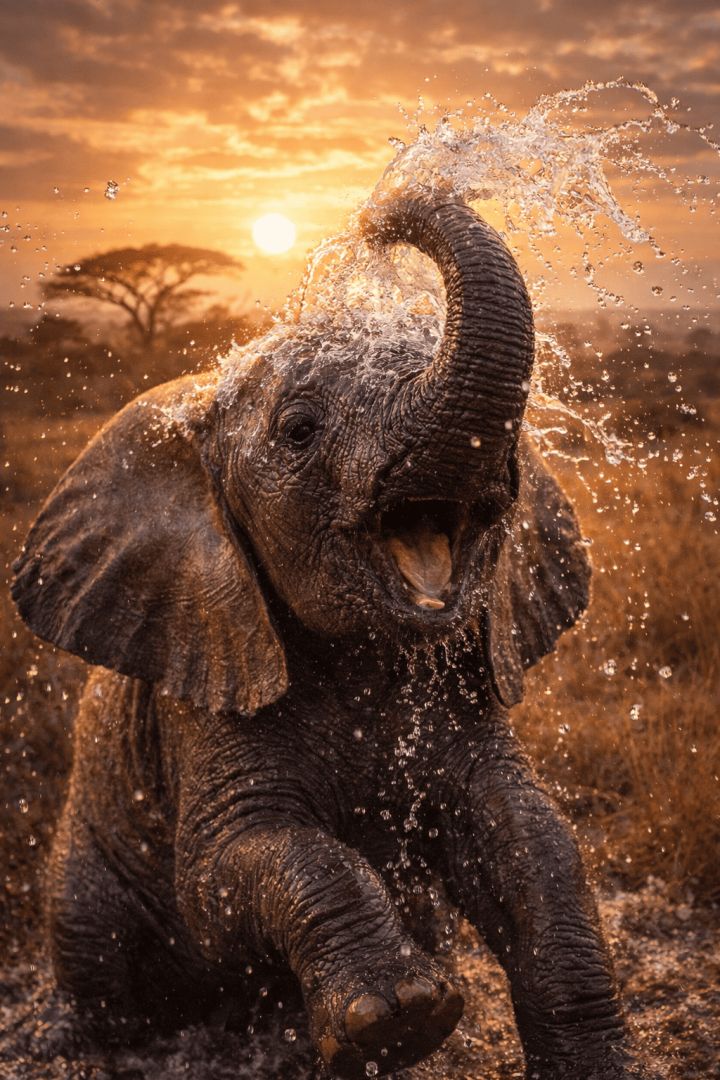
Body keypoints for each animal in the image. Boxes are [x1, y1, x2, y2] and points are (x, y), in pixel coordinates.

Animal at [12, 194, 630, 1079]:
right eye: (299, 430)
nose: (380, 214)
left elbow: (531, 835)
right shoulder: (204, 683)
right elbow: (223, 869)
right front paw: (401, 1021)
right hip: (82, 884)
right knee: (103, 970)